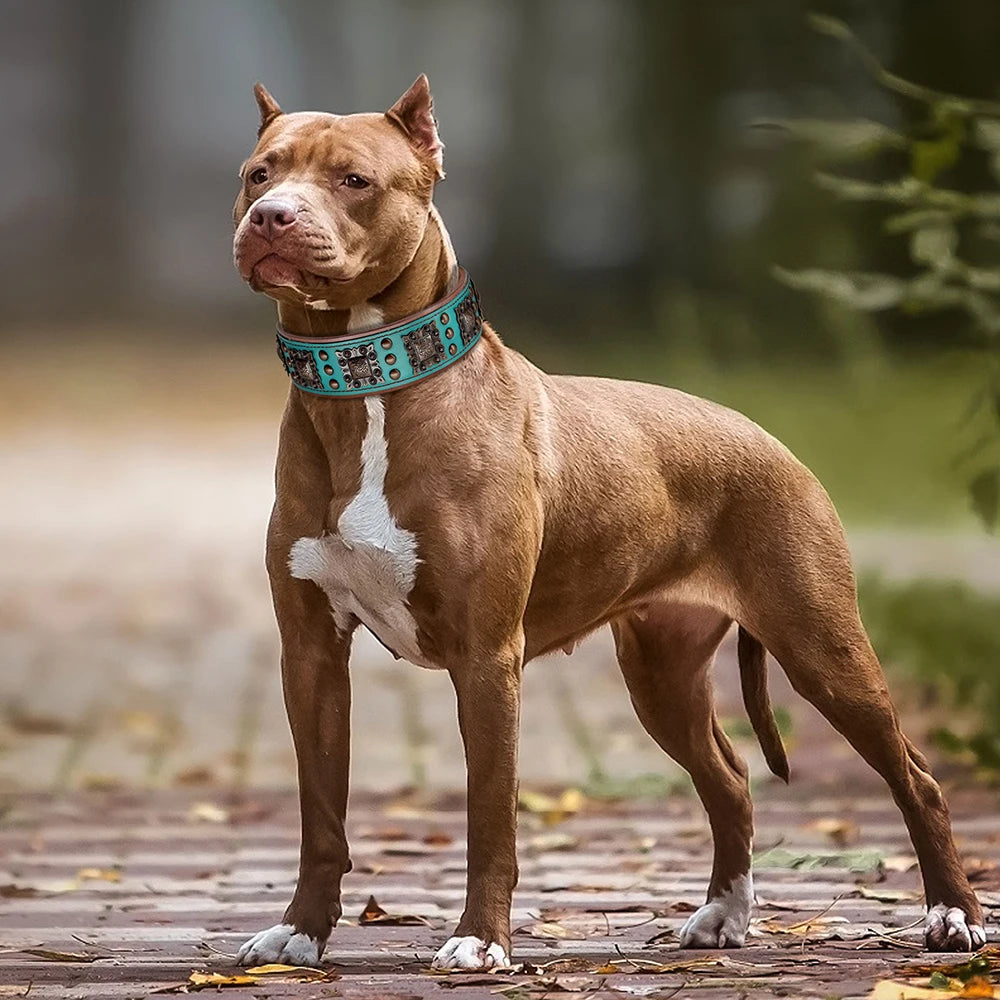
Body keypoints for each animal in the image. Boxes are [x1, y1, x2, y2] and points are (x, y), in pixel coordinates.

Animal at [230, 76, 988, 968]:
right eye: (258, 174)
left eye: (353, 180)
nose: (271, 216)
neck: (366, 388)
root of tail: (770, 439)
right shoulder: (312, 653)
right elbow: (321, 814)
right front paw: (300, 930)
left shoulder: (487, 657)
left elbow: (490, 814)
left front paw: (481, 941)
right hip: (662, 672)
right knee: (729, 779)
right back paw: (724, 916)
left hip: (822, 648)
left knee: (916, 777)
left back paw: (953, 916)